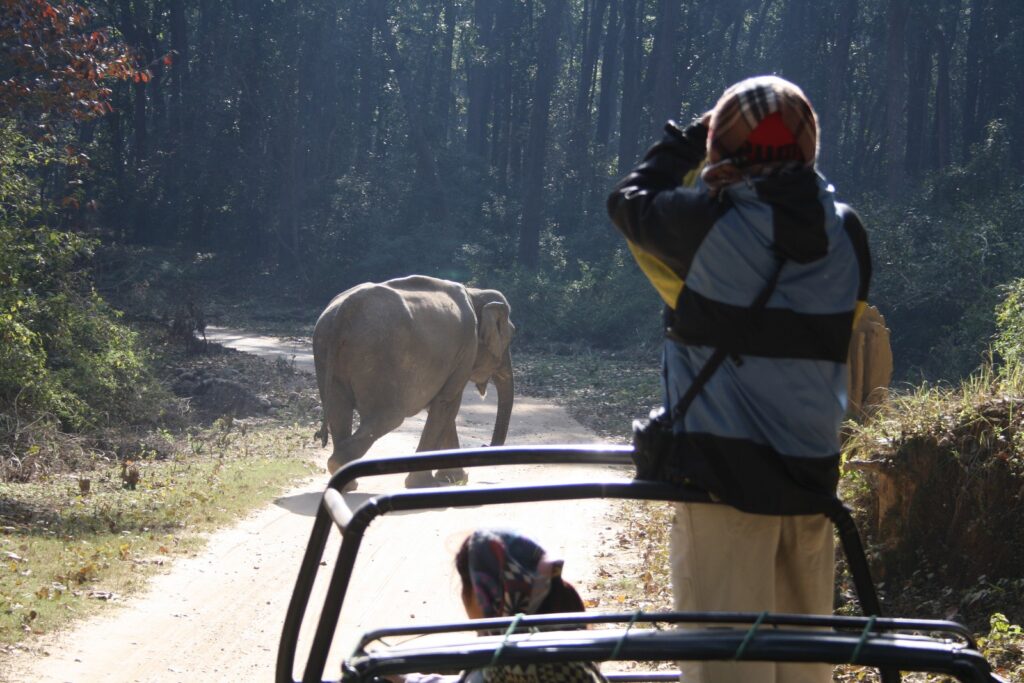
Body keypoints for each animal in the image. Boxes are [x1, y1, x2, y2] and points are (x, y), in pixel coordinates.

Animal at [311, 274, 516, 489]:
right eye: (510, 337)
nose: (484, 445)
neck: (475, 293)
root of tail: (345, 311)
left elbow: (443, 406)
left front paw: (453, 478)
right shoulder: (467, 348)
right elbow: (447, 402)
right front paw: (427, 483)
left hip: (326, 348)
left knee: (338, 411)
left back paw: (347, 481)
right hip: (377, 354)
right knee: (389, 417)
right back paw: (339, 466)